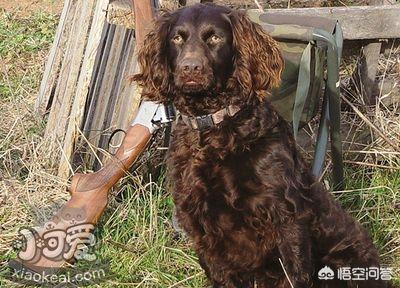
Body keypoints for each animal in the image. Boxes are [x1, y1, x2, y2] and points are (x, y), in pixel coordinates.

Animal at [133, 2, 390, 288]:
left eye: (215, 38)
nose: (190, 68)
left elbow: (293, 272)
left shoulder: (285, 215)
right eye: (177, 38)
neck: (215, 128)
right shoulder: (201, 225)